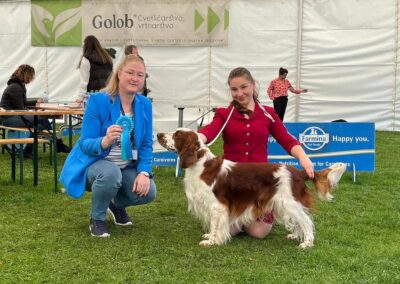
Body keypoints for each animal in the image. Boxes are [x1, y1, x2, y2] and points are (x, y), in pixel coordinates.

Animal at [156, 129, 346, 248]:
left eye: (177, 134)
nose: (158, 134)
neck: (200, 164)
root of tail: (299, 171)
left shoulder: (217, 206)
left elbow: (215, 225)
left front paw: (211, 241)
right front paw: (209, 237)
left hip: (290, 202)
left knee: (306, 220)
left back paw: (306, 243)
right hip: (284, 204)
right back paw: (295, 235)